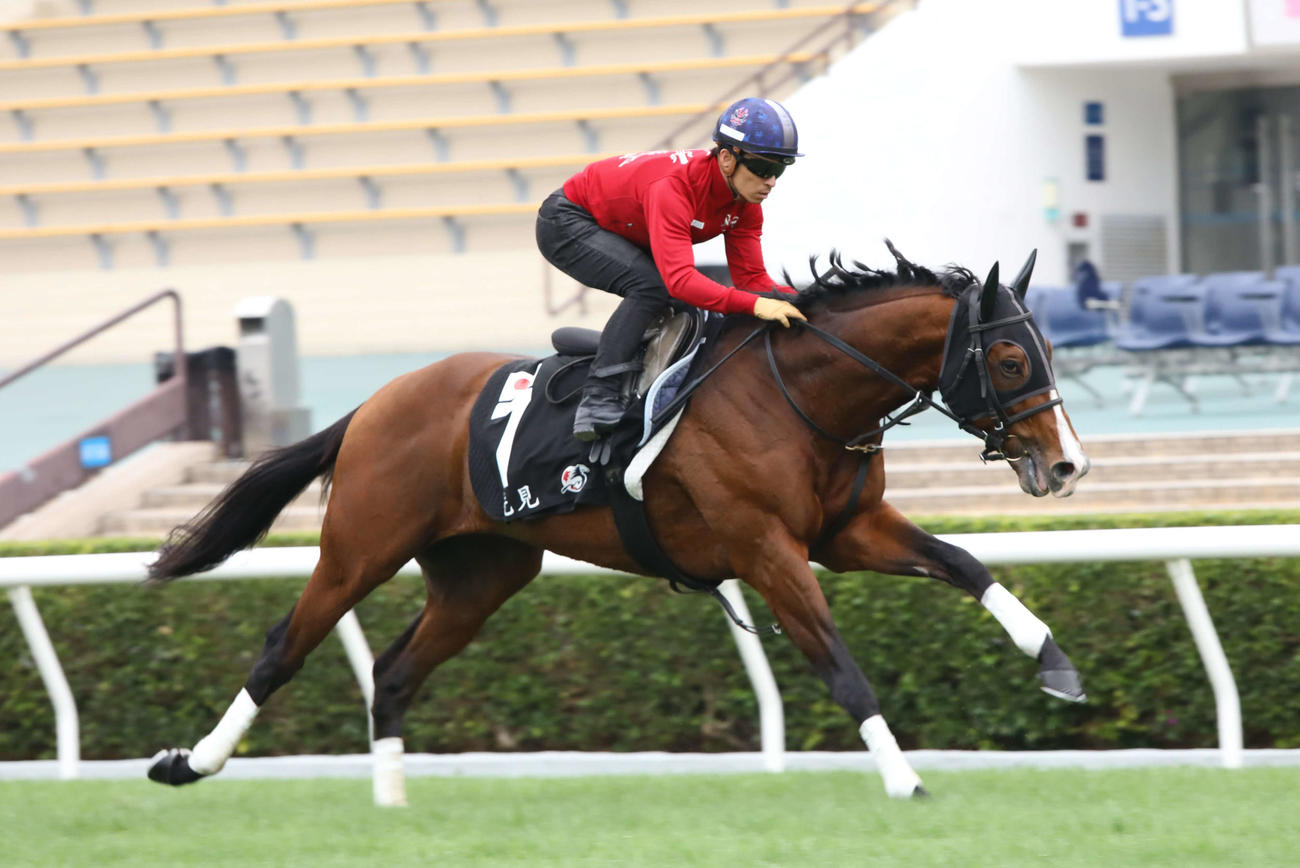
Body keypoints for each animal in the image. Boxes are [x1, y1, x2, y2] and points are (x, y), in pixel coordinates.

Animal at [145, 242, 1090, 803]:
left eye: (1049, 349)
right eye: (1012, 358)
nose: (1068, 464)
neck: (799, 394)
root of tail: (376, 402)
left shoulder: (844, 533)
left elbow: (966, 565)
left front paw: (1055, 662)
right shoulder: (767, 549)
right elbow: (838, 664)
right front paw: (902, 778)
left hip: (482, 573)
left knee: (394, 669)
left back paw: (391, 799)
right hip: (361, 546)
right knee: (284, 648)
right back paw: (188, 762)